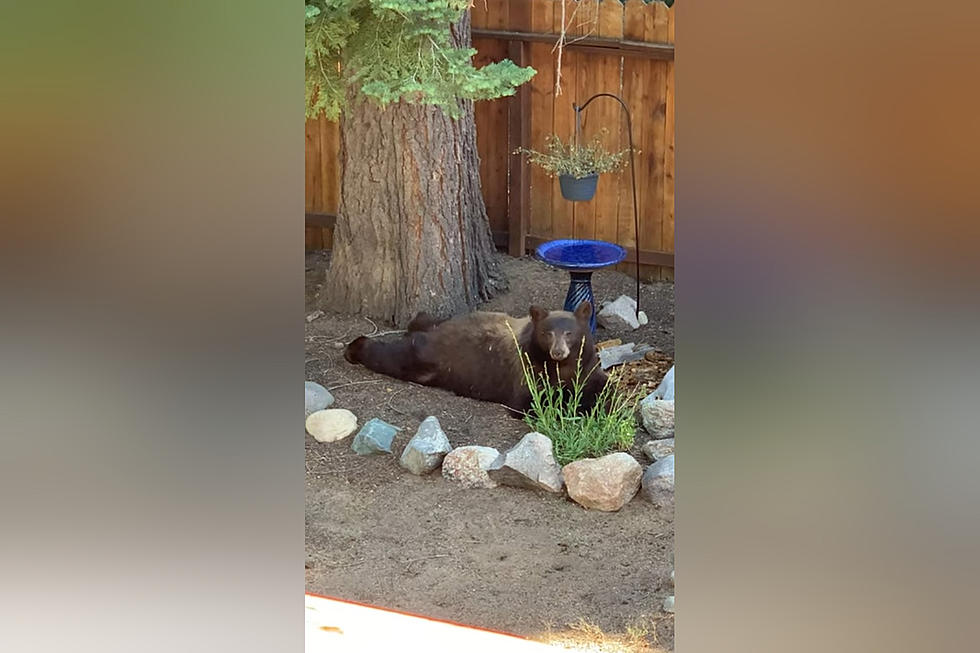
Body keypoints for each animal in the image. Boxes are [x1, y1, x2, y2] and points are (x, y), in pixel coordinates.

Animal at [342, 300, 604, 412]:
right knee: (393, 356)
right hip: (425, 357)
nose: (558, 351)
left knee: (422, 319)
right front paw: (571, 406)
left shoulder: (588, 364)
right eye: (547, 333)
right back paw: (354, 348)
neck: (563, 366)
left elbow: (600, 384)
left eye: (569, 333)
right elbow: (531, 400)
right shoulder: (528, 368)